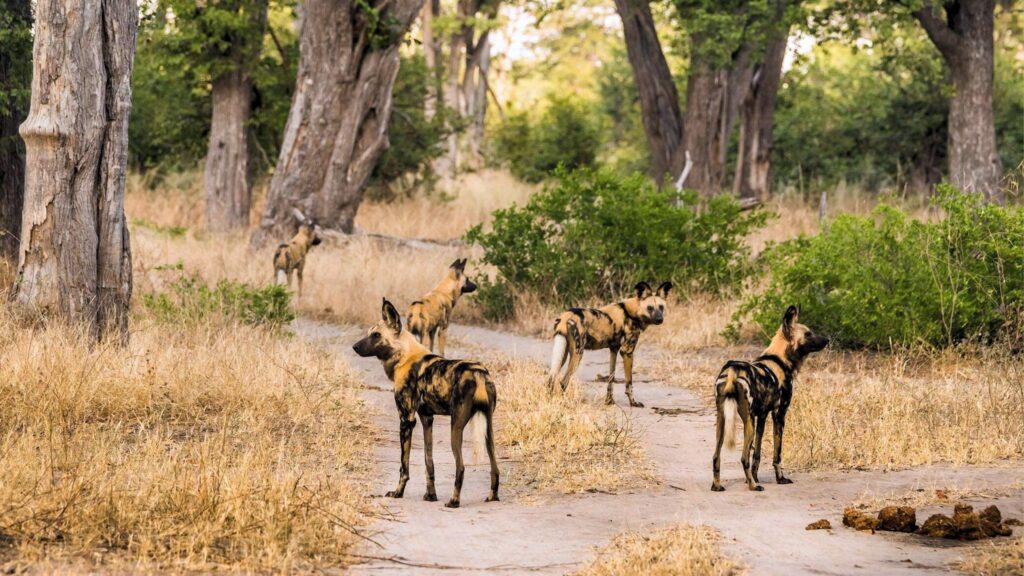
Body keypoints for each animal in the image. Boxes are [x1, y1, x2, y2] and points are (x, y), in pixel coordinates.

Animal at [352, 297, 499, 504]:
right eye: (368, 334)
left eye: (376, 335)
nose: (355, 347)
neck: (404, 356)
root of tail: (478, 372)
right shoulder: (426, 419)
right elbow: (428, 461)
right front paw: (430, 495)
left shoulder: (406, 420)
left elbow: (403, 466)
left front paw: (398, 493)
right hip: (488, 430)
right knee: (495, 467)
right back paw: (492, 496)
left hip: (456, 428)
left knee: (461, 467)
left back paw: (454, 501)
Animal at [712, 305, 831, 487]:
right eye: (808, 334)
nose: (827, 340)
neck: (779, 359)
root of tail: (733, 369)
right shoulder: (779, 414)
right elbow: (777, 453)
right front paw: (780, 479)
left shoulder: (762, 416)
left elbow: (757, 454)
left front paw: (755, 476)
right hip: (748, 422)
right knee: (743, 457)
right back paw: (754, 487)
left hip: (723, 420)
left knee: (716, 456)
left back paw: (718, 486)